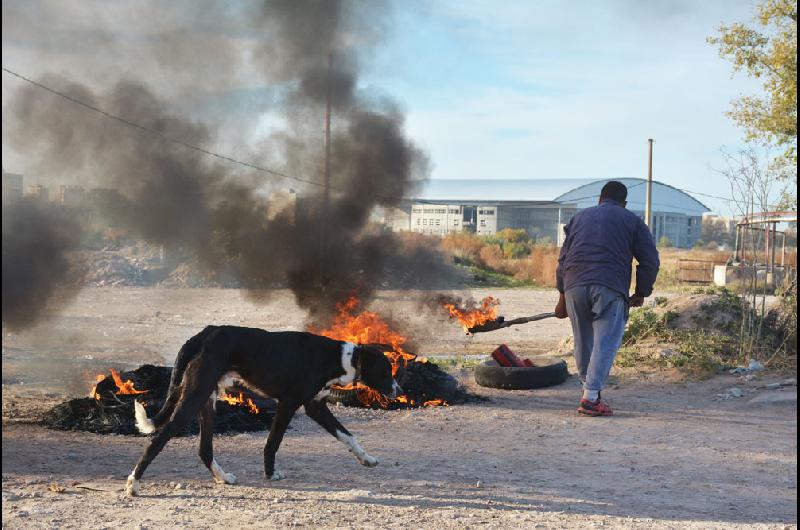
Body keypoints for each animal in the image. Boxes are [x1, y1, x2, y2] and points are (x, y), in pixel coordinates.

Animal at [125, 324, 400, 492]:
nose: (399, 391)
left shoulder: (315, 406)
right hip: (193, 398)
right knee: (157, 439)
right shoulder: (289, 404)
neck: (338, 358)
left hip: (206, 402)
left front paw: (367, 458)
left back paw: (222, 477)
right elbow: (273, 442)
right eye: (386, 371)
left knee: (204, 450)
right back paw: (134, 484)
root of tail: (205, 333)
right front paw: (270, 474)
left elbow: (347, 435)